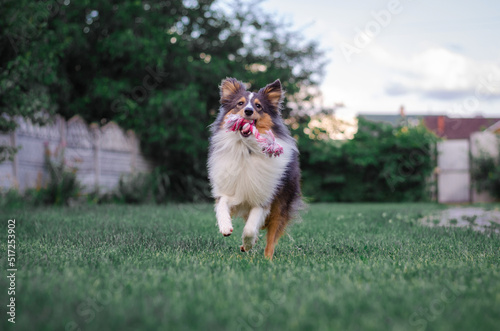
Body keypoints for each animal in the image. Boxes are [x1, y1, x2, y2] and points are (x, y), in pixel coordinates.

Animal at [206, 79, 300, 260]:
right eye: (240, 103)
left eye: (258, 106)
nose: (248, 111)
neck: (246, 148)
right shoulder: (228, 188)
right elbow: (222, 205)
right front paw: (225, 227)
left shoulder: (263, 198)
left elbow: (250, 228)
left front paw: (248, 243)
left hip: (281, 204)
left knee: (271, 237)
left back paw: (267, 259)